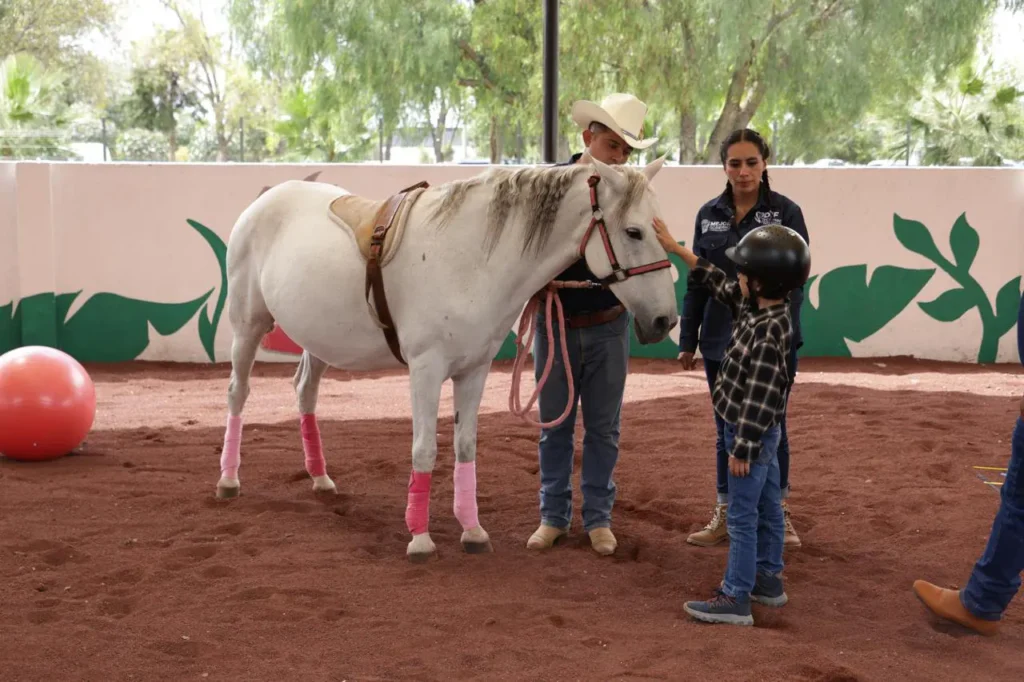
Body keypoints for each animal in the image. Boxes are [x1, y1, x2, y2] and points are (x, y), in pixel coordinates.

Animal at [217, 151, 679, 561]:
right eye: (634, 232)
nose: (665, 320)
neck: (470, 259)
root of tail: (268, 197)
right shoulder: (425, 369)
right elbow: (424, 450)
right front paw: (420, 539)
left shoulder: (473, 370)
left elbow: (465, 446)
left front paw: (472, 531)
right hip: (248, 324)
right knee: (238, 393)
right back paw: (228, 480)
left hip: (320, 339)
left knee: (305, 392)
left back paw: (320, 478)